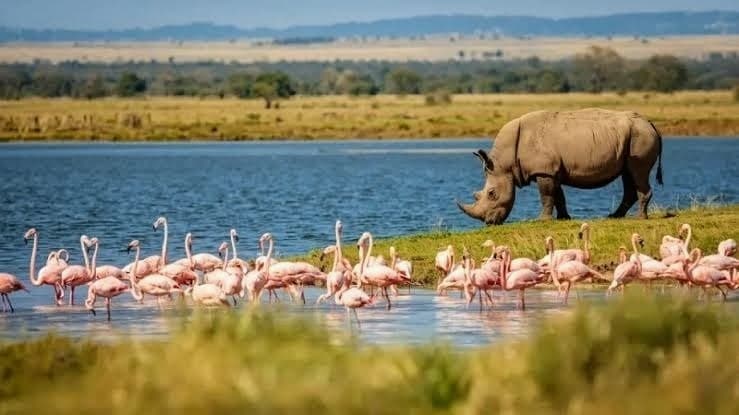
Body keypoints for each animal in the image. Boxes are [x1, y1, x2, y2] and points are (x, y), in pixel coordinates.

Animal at [458, 109, 663, 225]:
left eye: (492, 194)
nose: (489, 222)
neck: (505, 162)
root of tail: (651, 123)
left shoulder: (544, 171)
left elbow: (546, 196)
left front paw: (542, 220)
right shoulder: (551, 171)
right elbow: (558, 196)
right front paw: (563, 219)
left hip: (640, 137)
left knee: (638, 172)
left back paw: (640, 218)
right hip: (632, 137)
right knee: (628, 174)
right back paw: (614, 217)